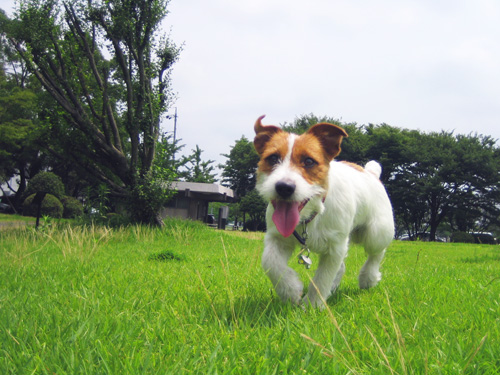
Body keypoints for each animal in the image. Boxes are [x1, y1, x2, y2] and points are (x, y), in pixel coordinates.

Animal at [254, 116, 394, 310]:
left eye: (309, 161)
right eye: (273, 158)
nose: (284, 187)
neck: (310, 217)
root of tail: (371, 172)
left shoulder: (335, 247)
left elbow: (322, 278)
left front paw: (312, 306)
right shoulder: (277, 238)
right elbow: (270, 262)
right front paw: (290, 291)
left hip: (376, 233)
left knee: (377, 252)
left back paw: (368, 278)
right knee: (341, 266)